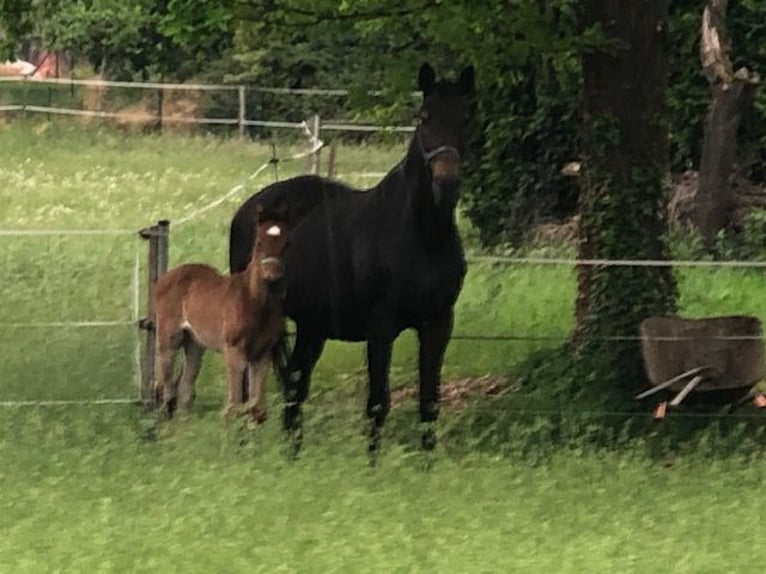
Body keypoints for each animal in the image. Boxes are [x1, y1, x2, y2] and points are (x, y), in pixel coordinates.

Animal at [153, 203, 289, 422]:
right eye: (258, 242)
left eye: (287, 242)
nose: (272, 274)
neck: (255, 302)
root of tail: (166, 277)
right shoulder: (234, 349)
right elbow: (233, 405)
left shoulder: (263, 352)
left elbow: (257, 408)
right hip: (169, 338)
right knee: (164, 387)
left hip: (195, 343)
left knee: (184, 388)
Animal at [229, 62, 474, 458]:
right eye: (424, 116)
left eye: (466, 117)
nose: (447, 180)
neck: (422, 236)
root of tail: (250, 208)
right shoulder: (381, 326)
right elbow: (377, 403)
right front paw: (372, 467)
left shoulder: (438, 323)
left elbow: (429, 403)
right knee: (251, 385)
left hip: (312, 326)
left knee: (295, 386)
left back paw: (291, 457)